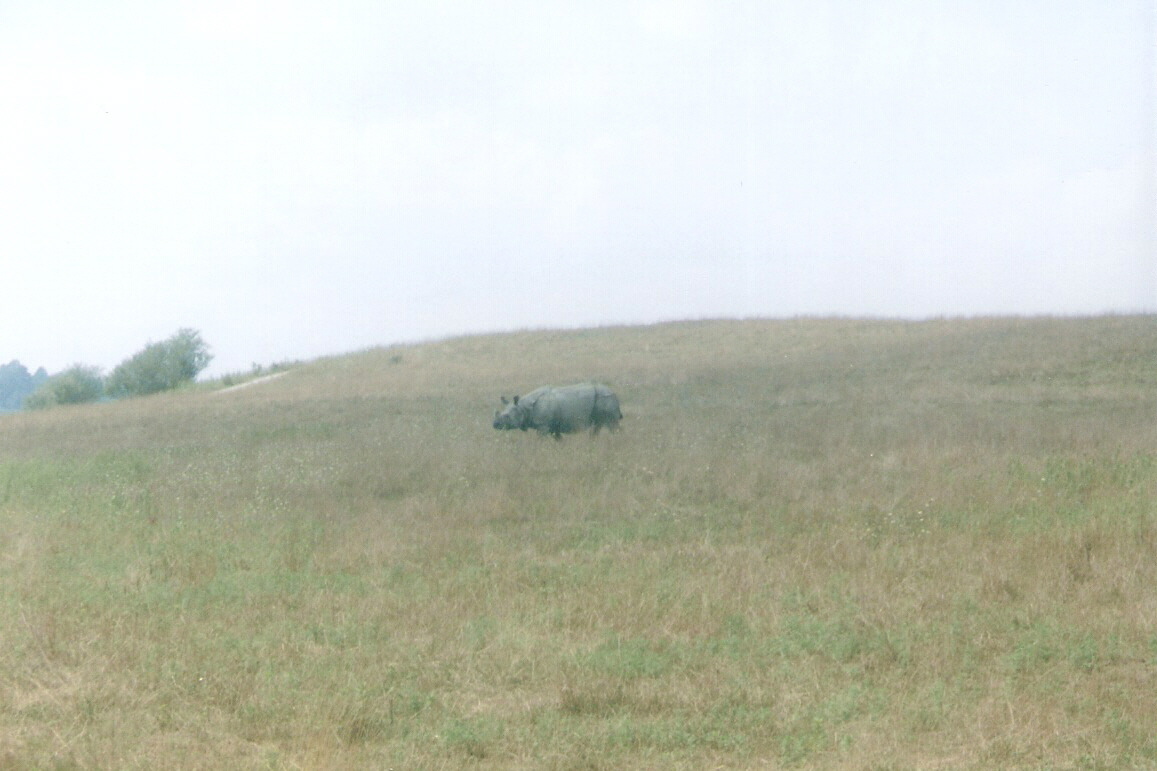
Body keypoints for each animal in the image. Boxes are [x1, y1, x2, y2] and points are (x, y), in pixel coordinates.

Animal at [493, 383, 622, 437]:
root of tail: (613, 392)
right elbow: (559, 439)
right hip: (602, 399)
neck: (523, 407)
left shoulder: (543, 425)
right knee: (598, 425)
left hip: (605, 398)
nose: (495, 424)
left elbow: (541, 439)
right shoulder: (553, 426)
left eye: (507, 417)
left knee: (611, 423)